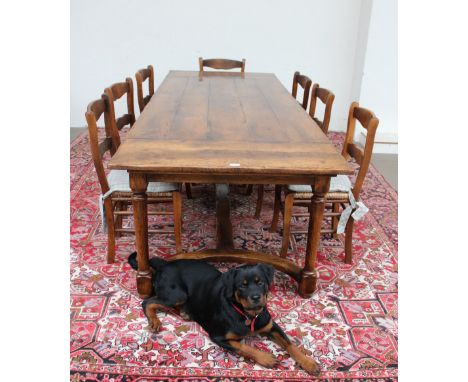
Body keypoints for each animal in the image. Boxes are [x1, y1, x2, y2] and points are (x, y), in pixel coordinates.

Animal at [127, 252, 318, 374]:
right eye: (242, 285)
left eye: (261, 282)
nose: (256, 297)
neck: (247, 315)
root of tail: (165, 263)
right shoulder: (219, 336)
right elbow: (244, 346)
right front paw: (266, 358)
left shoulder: (271, 325)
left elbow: (290, 344)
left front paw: (309, 363)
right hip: (177, 294)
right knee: (148, 301)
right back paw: (155, 322)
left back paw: (185, 313)